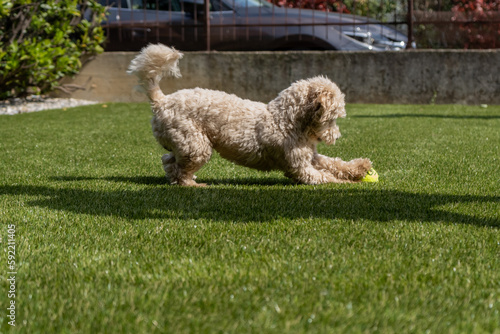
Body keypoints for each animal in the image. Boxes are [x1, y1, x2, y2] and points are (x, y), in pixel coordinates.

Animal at [128, 43, 372, 187]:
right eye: (333, 118)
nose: (337, 136)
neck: (286, 120)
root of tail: (161, 101)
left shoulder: (311, 156)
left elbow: (335, 163)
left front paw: (360, 167)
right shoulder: (301, 168)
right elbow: (326, 177)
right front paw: (351, 184)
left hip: (185, 144)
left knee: (169, 160)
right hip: (196, 144)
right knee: (179, 168)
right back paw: (192, 184)